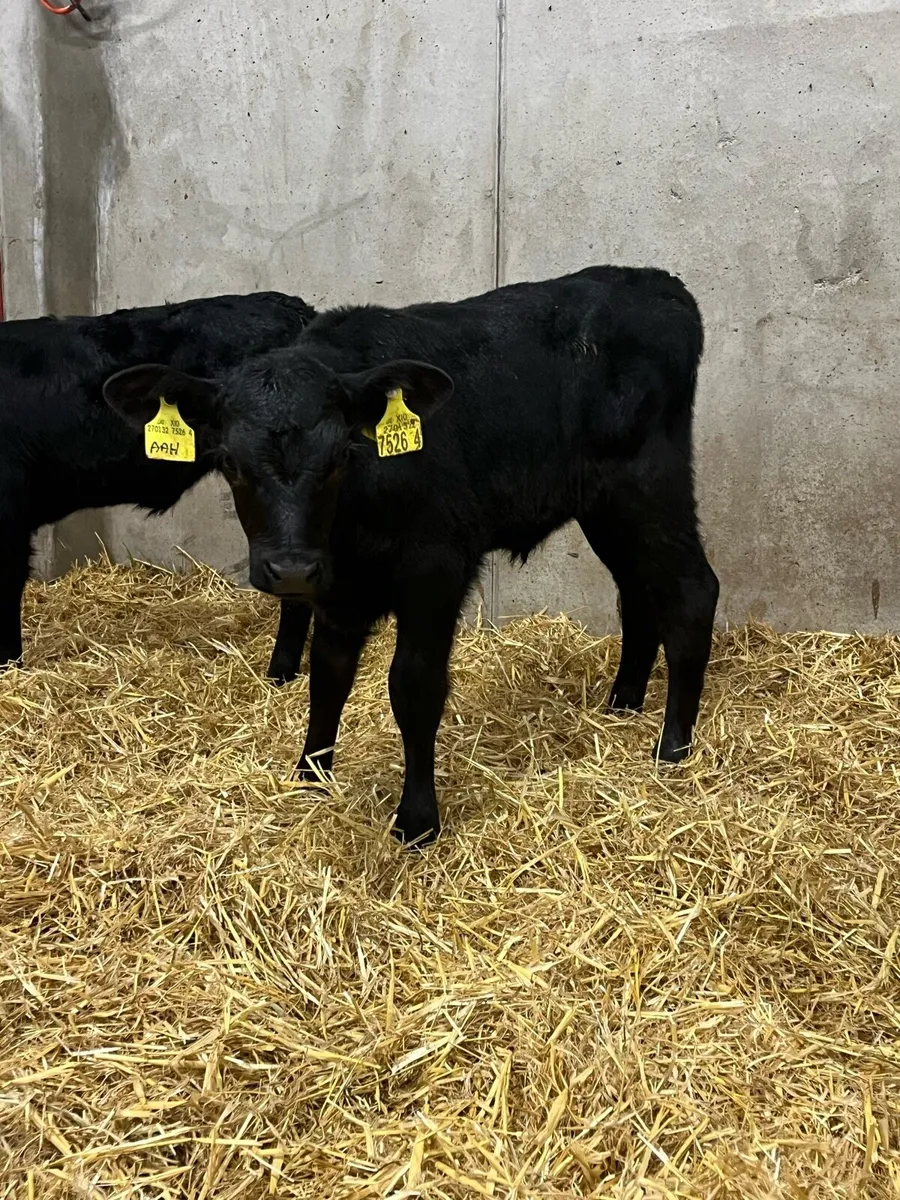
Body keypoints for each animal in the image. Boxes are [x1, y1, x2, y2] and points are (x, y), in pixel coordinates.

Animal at [103, 266, 720, 846]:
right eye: (229, 461)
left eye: (341, 456)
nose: (291, 568)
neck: (352, 525)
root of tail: (659, 283)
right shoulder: (337, 585)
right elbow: (328, 675)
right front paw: (310, 777)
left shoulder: (435, 569)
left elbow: (414, 686)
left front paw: (417, 819)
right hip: (605, 506)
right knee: (639, 594)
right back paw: (622, 705)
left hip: (648, 485)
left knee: (692, 591)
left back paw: (673, 747)